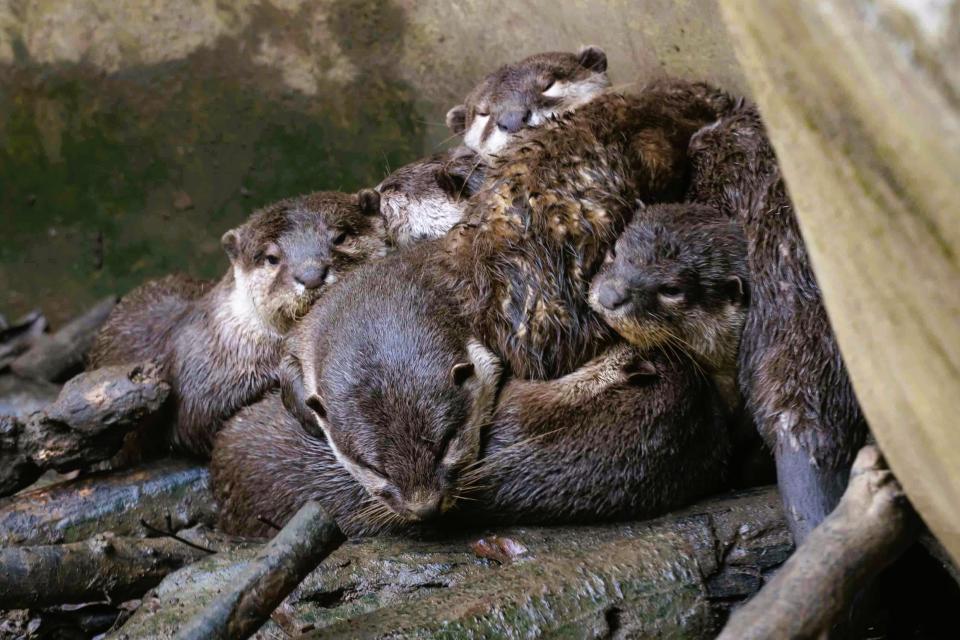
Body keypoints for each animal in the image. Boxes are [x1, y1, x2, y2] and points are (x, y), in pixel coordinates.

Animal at [88, 188, 388, 458]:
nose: (312, 274)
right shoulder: (195, 391)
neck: (231, 343)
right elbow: (194, 427)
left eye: (340, 237)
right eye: (272, 258)